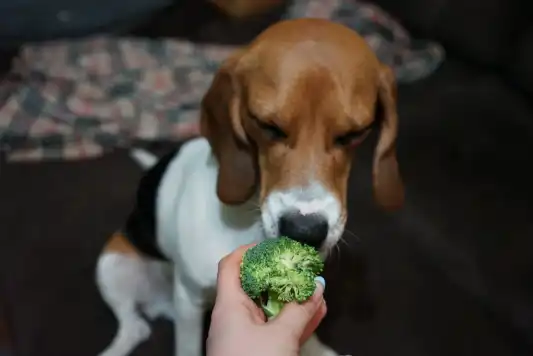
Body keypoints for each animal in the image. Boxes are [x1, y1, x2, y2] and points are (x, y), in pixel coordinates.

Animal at [96, 18, 404, 356]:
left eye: (354, 134)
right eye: (268, 126)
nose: (304, 231)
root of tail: (160, 305)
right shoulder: (189, 301)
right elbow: (188, 346)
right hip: (112, 264)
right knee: (134, 327)